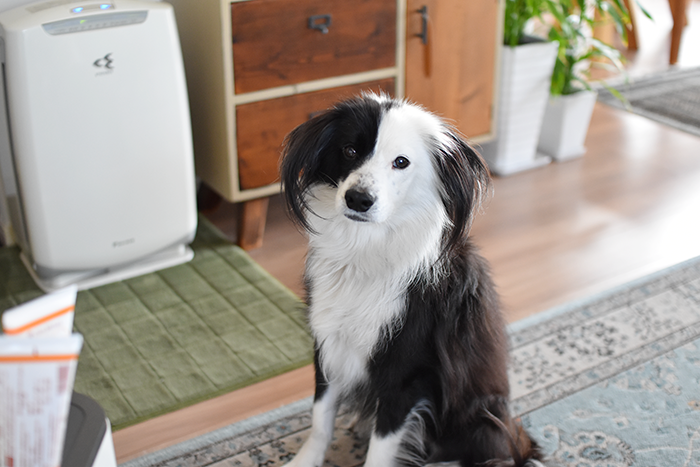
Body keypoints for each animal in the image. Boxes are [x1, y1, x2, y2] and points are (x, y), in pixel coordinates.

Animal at [278, 95, 540, 467]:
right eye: (349, 150)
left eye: (400, 162)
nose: (358, 199)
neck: (364, 253)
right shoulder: (328, 346)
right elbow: (320, 419)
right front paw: (305, 460)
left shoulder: (406, 377)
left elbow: (380, 449)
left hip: (480, 425)